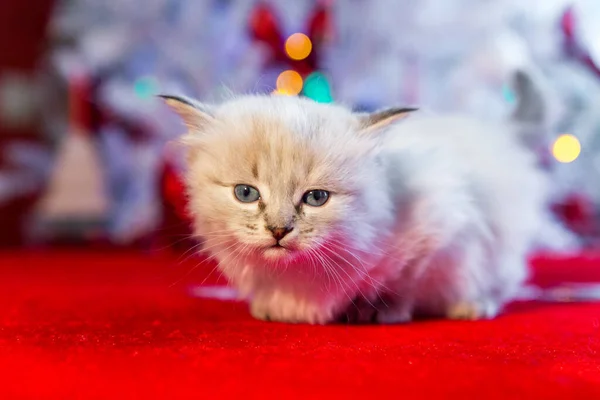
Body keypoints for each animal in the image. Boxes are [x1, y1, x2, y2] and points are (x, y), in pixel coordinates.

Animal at [162, 94, 548, 324]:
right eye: (246, 193)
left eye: (316, 198)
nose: (279, 230)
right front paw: (272, 308)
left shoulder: (441, 224)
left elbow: (401, 282)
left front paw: (375, 310)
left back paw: (473, 306)